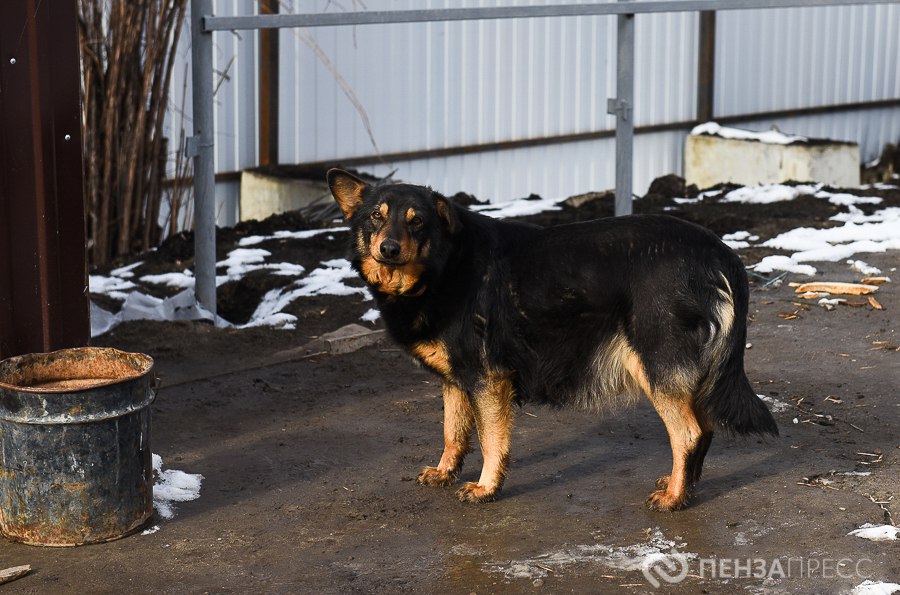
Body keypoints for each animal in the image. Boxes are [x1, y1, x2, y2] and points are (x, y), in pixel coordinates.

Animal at [326, 169, 776, 512]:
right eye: (375, 217)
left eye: (417, 221)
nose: (388, 249)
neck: (444, 265)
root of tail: (721, 251)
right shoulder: (457, 381)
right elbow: (453, 433)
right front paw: (445, 472)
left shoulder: (488, 380)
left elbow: (491, 441)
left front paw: (487, 488)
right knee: (704, 427)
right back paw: (683, 486)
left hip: (656, 365)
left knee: (689, 433)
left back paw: (675, 499)